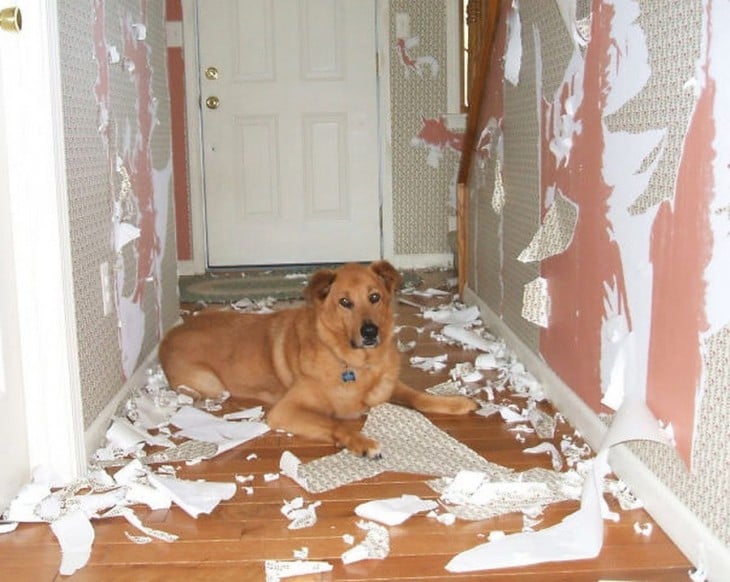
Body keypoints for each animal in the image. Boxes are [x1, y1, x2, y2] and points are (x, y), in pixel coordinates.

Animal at [158, 262, 478, 458]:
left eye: (374, 297)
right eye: (345, 302)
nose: (370, 332)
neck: (353, 364)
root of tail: (169, 334)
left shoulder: (386, 387)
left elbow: (419, 397)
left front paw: (455, 403)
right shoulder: (286, 410)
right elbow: (338, 424)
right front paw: (362, 443)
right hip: (210, 384)